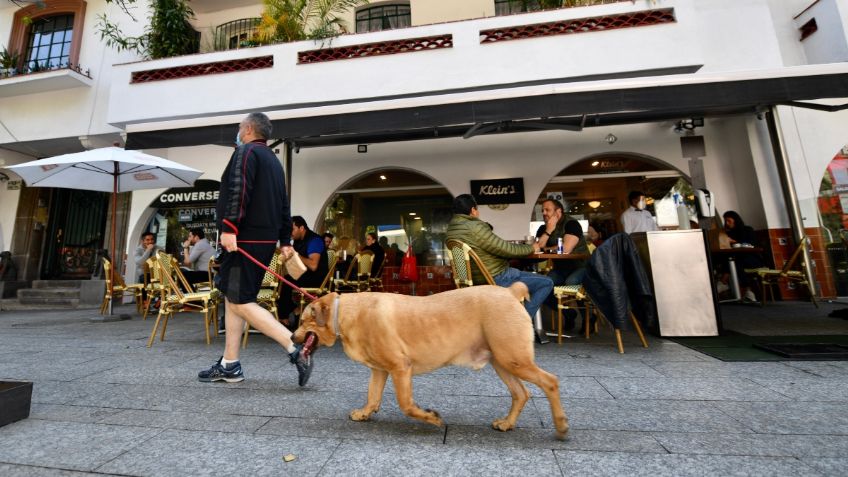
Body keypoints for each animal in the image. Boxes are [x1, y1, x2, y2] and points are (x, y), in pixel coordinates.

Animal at [294, 282, 568, 438]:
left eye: (302, 321)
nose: (292, 336)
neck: (343, 313)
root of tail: (511, 292)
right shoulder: (380, 370)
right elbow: (373, 396)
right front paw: (364, 413)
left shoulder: (400, 367)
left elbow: (406, 404)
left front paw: (430, 417)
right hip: (502, 361)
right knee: (521, 393)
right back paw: (508, 423)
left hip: (514, 359)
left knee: (550, 381)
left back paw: (561, 425)